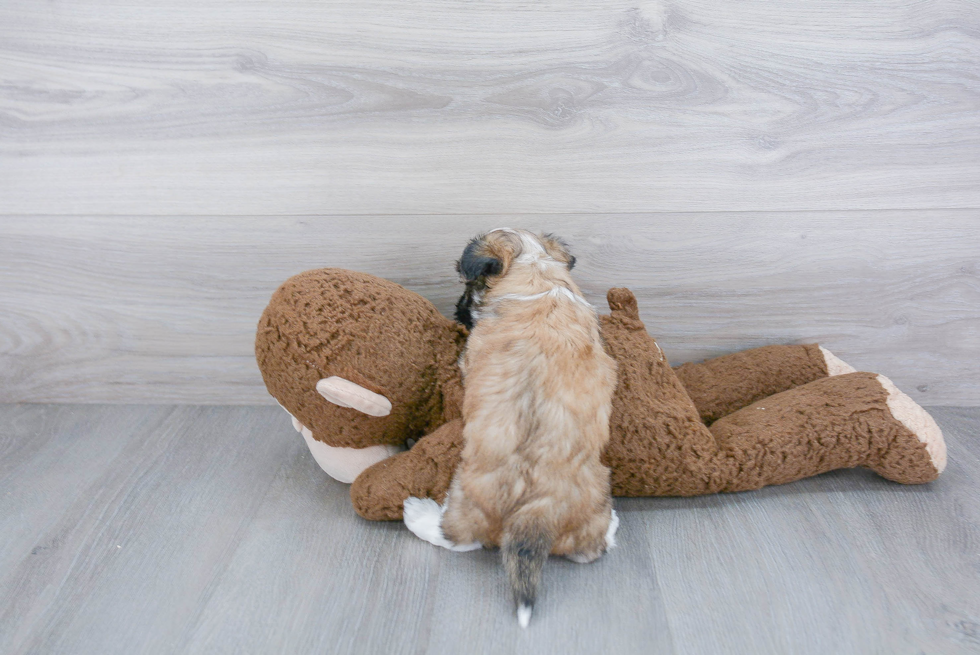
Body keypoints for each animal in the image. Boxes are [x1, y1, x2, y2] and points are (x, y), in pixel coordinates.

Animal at [406, 228, 620, 628]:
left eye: (468, 289)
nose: (457, 310)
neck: (536, 269)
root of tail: (534, 511)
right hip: (595, 495)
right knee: (590, 548)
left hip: (464, 494)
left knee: (458, 536)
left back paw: (418, 514)